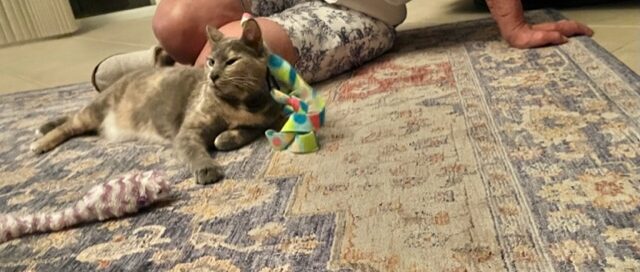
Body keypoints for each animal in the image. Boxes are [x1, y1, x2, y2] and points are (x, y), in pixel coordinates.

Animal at [28, 19, 282, 185]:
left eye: (231, 61)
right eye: (210, 61)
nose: (213, 75)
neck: (239, 104)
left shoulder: (265, 119)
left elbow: (250, 130)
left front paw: (226, 138)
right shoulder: (188, 131)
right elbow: (194, 151)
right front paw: (207, 168)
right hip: (95, 110)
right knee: (69, 124)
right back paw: (41, 141)